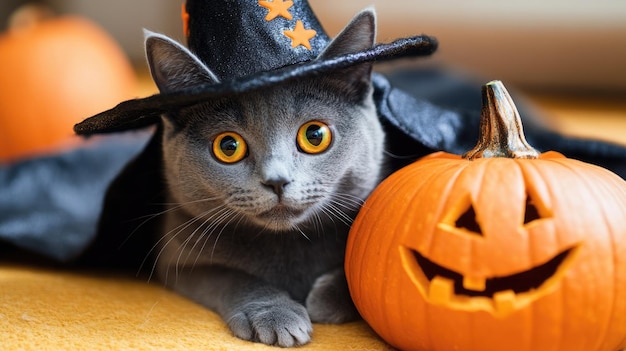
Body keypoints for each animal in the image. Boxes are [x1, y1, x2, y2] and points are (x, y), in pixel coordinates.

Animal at [147, 9, 380, 348]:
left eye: (315, 135)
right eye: (228, 147)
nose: (277, 180)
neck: (288, 244)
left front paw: (328, 298)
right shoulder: (176, 260)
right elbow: (232, 276)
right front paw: (276, 316)